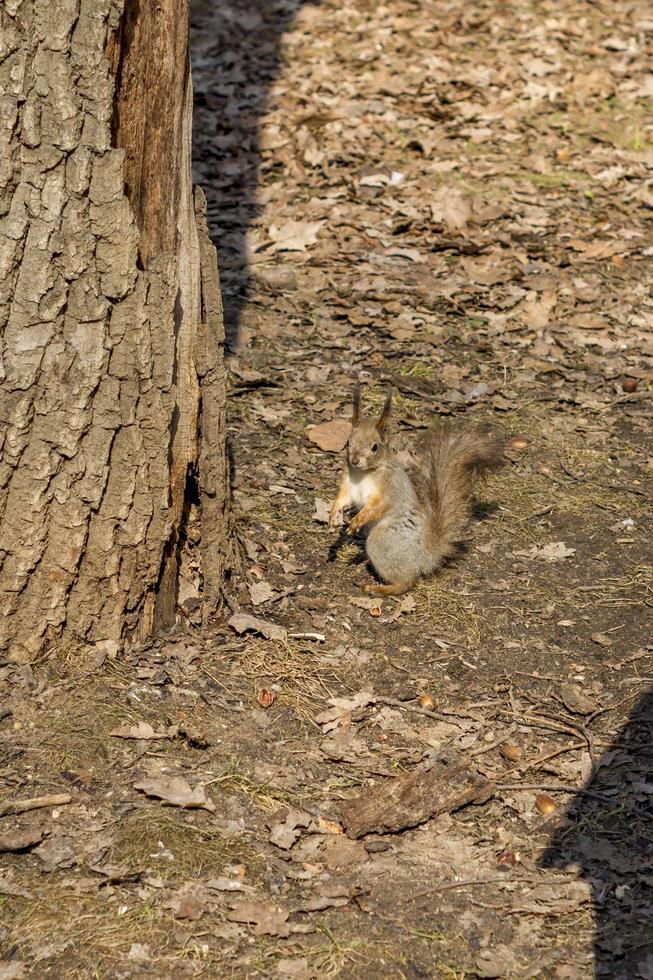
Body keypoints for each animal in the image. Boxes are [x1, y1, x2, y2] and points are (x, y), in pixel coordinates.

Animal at [332, 384, 504, 596]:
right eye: (348, 442)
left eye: (375, 447)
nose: (355, 460)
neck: (362, 474)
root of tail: (424, 557)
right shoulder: (348, 485)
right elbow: (343, 499)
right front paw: (333, 515)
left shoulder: (390, 487)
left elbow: (378, 506)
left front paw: (357, 519)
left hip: (382, 541)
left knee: (406, 582)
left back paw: (379, 588)